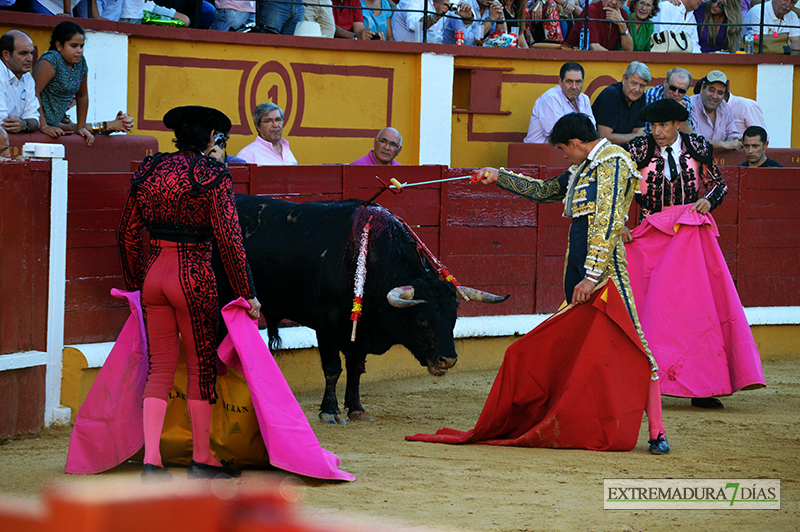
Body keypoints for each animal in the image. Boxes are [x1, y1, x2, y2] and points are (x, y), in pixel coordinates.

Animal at [212, 195, 510, 424]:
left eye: (453, 318)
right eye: (422, 319)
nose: (447, 360)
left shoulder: (362, 332)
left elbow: (355, 368)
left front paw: (356, 409)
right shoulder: (327, 325)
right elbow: (333, 368)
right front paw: (329, 412)